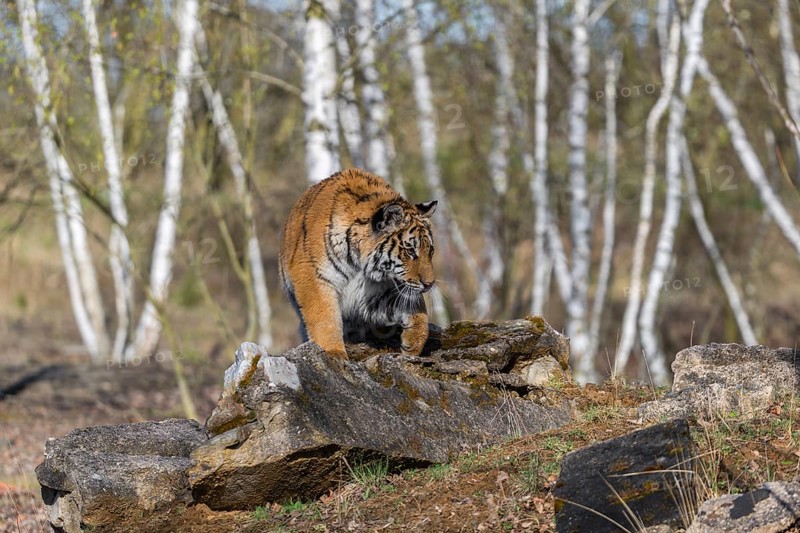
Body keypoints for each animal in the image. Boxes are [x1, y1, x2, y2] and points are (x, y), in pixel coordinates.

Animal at [278, 168, 438, 359]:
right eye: (410, 251)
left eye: (430, 251)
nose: (429, 284)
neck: (360, 263)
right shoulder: (314, 277)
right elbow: (325, 319)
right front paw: (334, 354)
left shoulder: (378, 291)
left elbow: (418, 311)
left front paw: (412, 345)